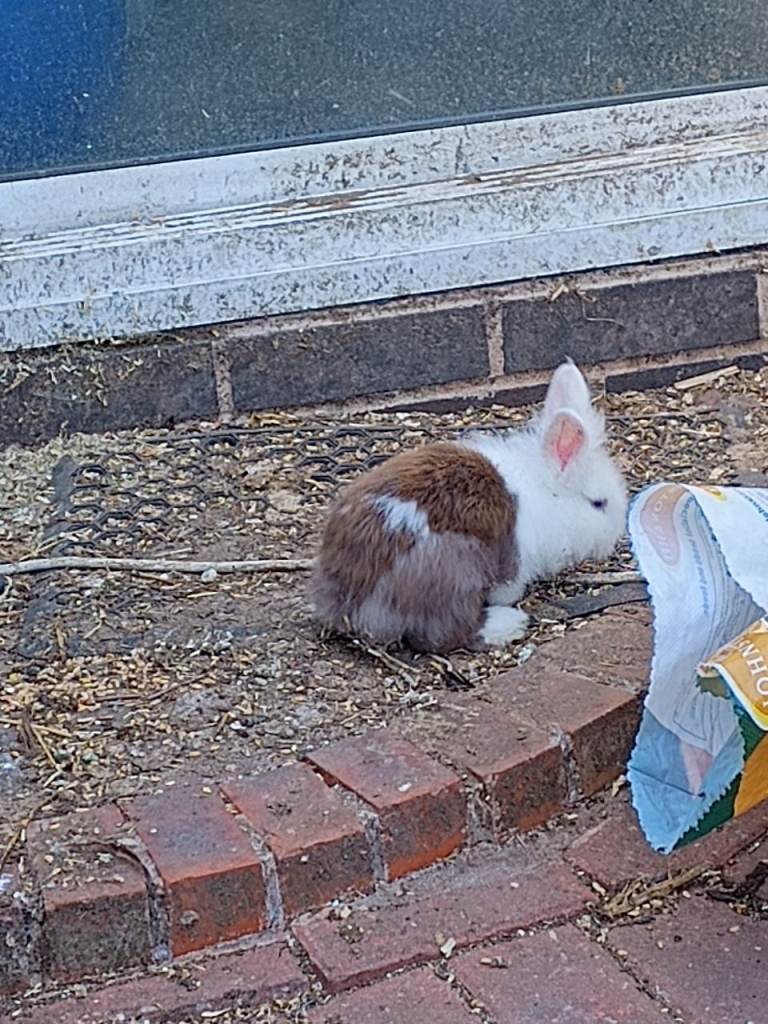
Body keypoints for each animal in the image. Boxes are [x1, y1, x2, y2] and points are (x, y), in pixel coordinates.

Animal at [310, 360, 627, 654]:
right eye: (598, 503)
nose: (615, 537)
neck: (548, 494)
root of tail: (346, 599)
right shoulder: (514, 564)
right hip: (455, 571)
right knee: (441, 633)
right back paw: (507, 624)